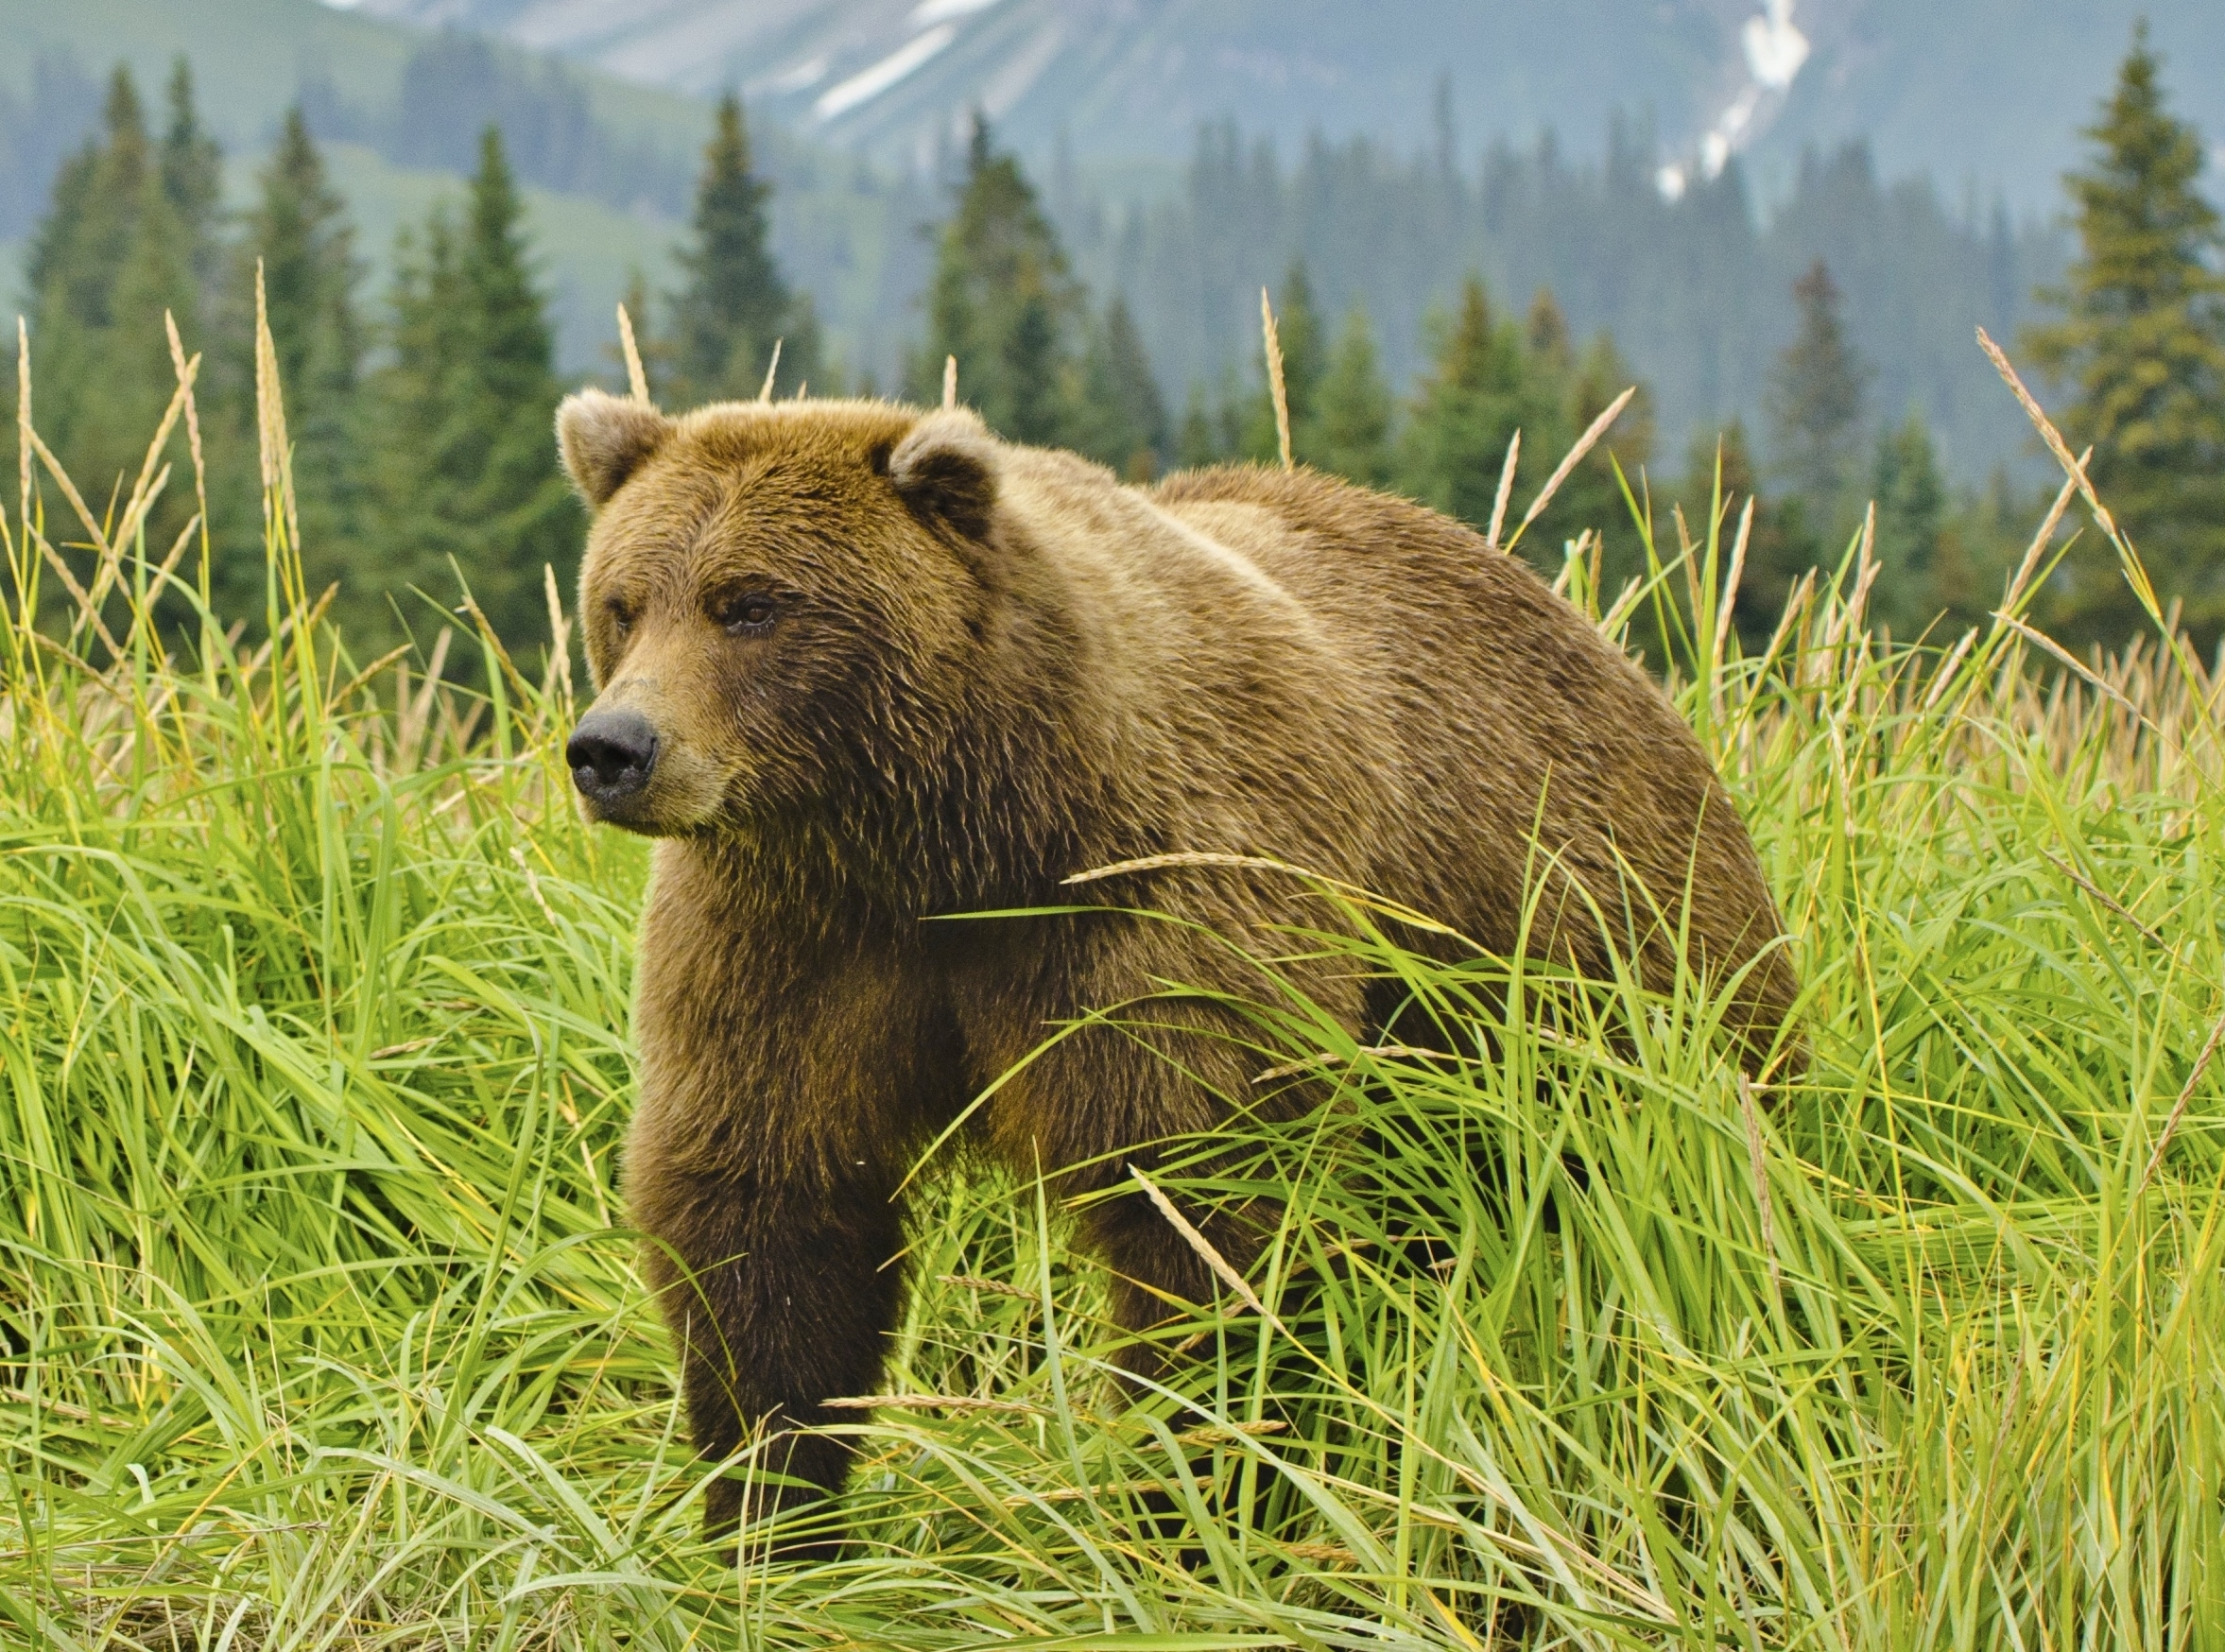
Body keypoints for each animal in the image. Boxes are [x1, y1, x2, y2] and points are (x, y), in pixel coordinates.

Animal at [551, 391, 1788, 1539]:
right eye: (624, 601)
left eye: (750, 603)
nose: (613, 747)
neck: (950, 839)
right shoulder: (786, 937)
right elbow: (764, 1208)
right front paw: (769, 1516)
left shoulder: (1161, 906)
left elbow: (1202, 1205)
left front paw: (1189, 1491)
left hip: (1592, 950)